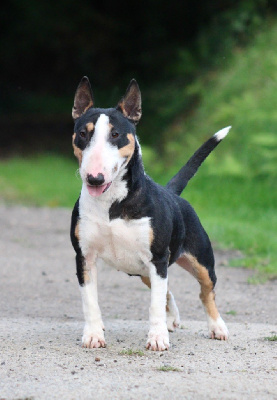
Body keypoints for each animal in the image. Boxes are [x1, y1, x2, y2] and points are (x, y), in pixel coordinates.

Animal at [69, 77, 229, 350]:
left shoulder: (157, 258)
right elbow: (90, 300)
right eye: (83, 133)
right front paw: (93, 335)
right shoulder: (85, 256)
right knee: (166, 290)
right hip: (142, 269)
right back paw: (172, 319)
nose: (94, 178)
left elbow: (155, 303)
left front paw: (157, 339)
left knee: (204, 291)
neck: (113, 204)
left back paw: (216, 327)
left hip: (199, 261)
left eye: (115, 134)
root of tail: (172, 192)